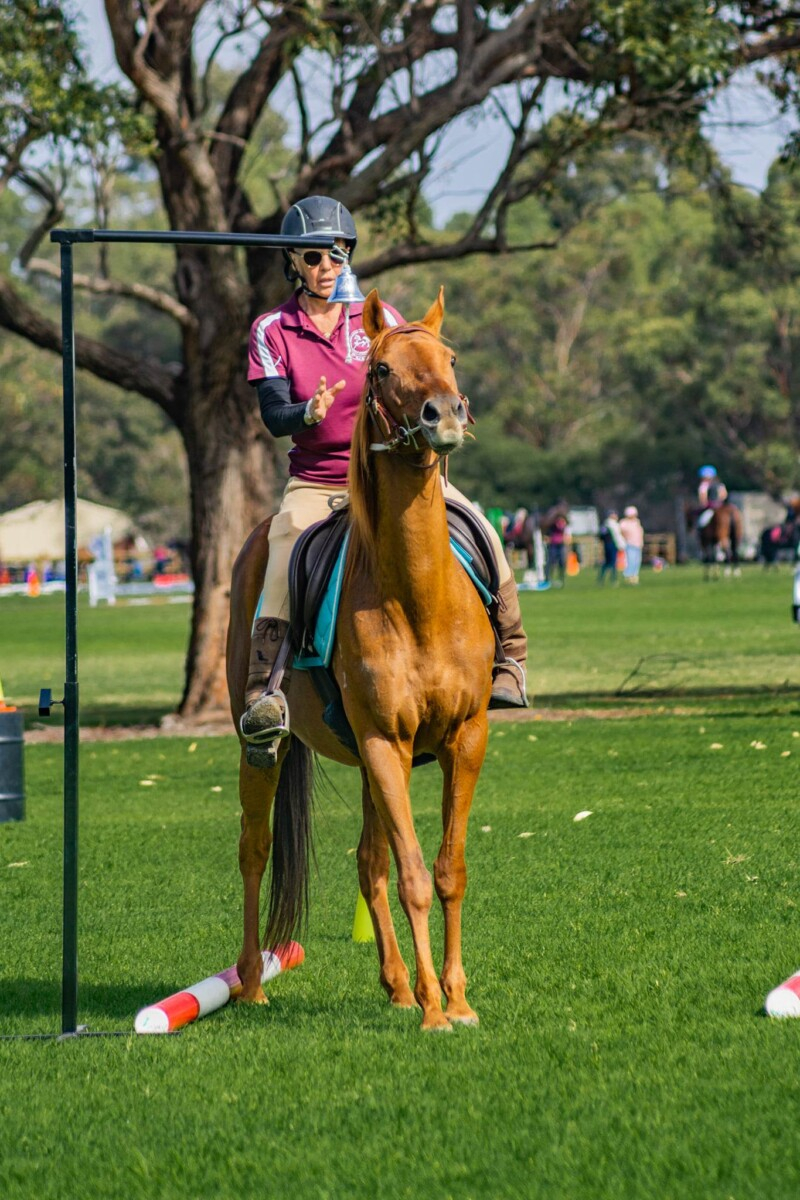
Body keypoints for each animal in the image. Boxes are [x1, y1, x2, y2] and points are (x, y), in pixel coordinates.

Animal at [226, 288, 496, 1031]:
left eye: (450, 358)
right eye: (380, 370)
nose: (445, 414)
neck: (418, 595)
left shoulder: (464, 739)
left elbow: (447, 870)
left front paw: (454, 999)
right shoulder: (382, 739)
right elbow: (414, 876)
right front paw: (436, 1012)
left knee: (368, 862)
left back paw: (399, 986)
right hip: (270, 747)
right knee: (256, 849)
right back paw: (251, 983)